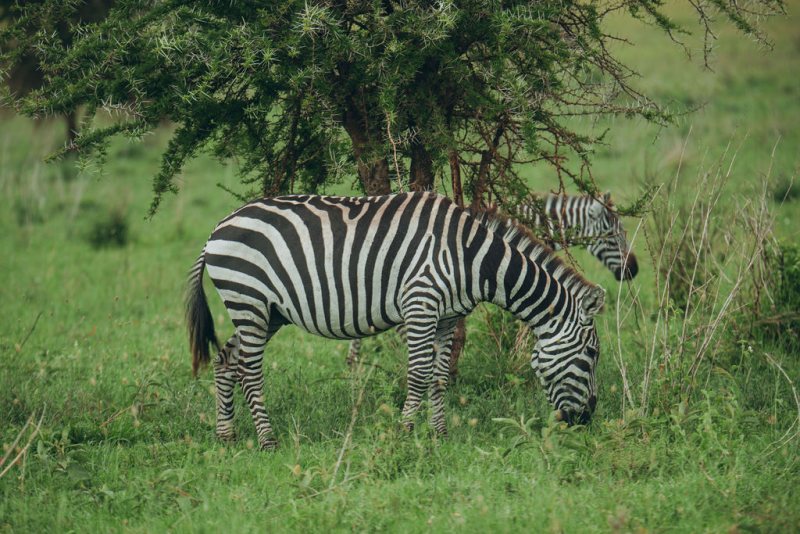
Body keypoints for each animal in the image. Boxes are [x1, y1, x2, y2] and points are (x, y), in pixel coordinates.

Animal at [186, 192, 605, 450]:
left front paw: (439, 434)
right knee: (250, 371)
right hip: (250, 302)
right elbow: (418, 373)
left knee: (226, 360)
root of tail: (217, 229)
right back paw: (268, 441)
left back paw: (226, 434)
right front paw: (405, 432)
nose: (586, 419)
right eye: (592, 354)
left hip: (266, 312)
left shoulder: (447, 318)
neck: (472, 258)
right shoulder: (420, 303)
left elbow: (439, 376)